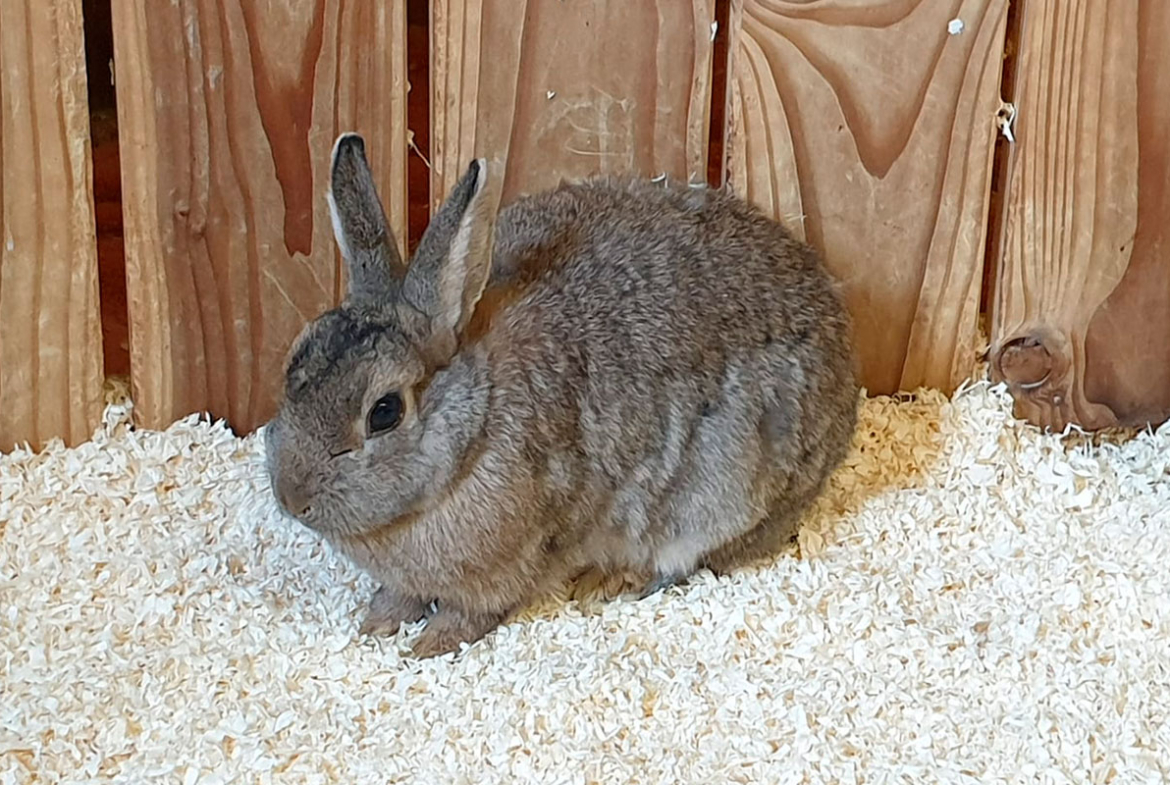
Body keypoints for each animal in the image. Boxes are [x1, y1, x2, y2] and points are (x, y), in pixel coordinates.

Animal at [265, 132, 859, 658]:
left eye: (384, 412)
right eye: (296, 355)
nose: (293, 499)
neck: (472, 433)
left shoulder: (505, 566)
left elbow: (467, 615)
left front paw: (424, 648)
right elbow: (399, 596)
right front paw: (374, 627)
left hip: (729, 487)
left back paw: (608, 581)